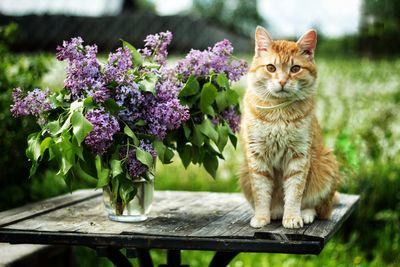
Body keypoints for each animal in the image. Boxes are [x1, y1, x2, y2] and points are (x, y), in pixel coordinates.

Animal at [241, 26, 340, 229]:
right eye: (271, 68)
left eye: (295, 69)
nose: (282, 81)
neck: (279, 112)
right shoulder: (257, 157)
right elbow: (261, 192)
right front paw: (262, 217)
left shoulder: (299, 157)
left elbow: (295, 193)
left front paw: (292, 217)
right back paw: (276, 211)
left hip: (326, 165)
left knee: (319, 208)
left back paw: (306, 214)